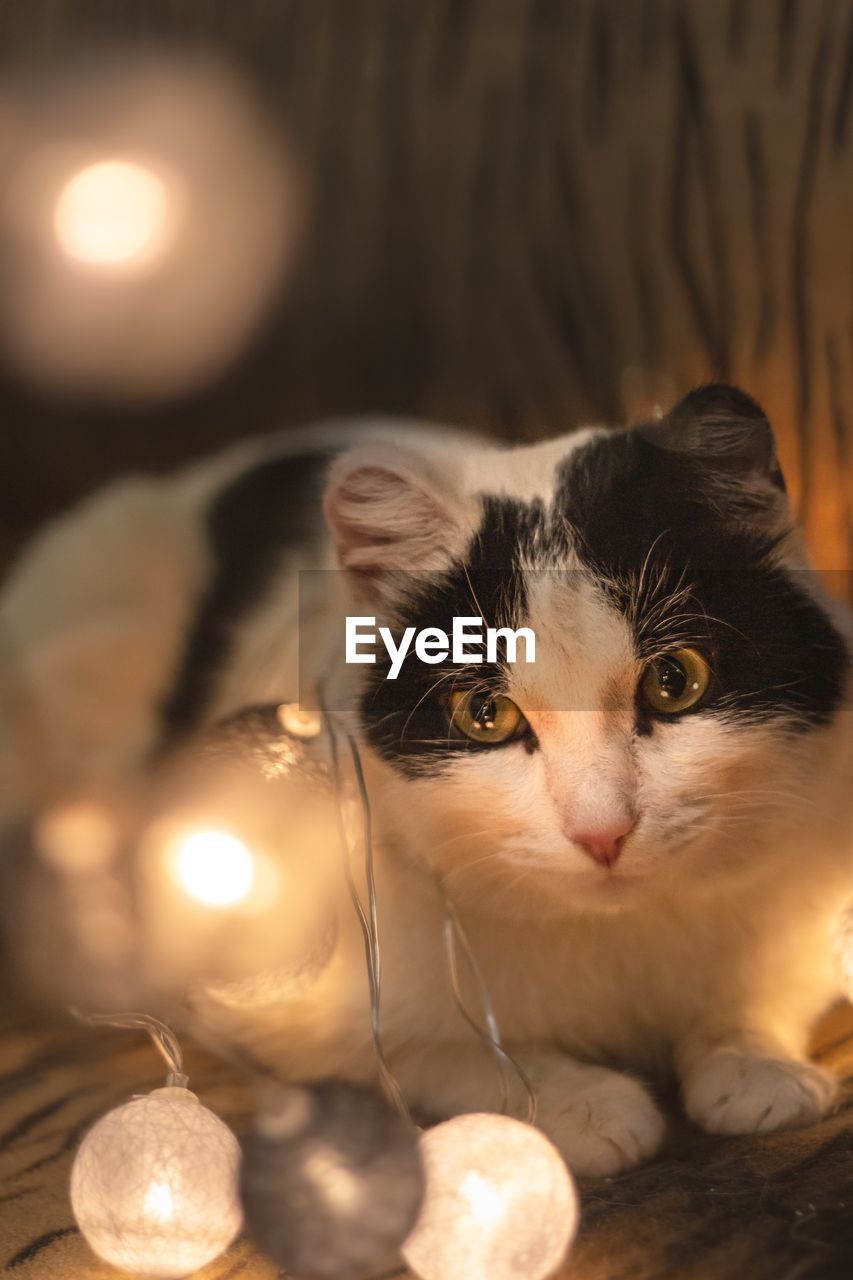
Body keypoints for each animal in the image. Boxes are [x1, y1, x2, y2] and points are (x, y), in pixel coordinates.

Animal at [4, 384, 850, 1172]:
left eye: (674, 681)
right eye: (486, 714)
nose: (601, 832)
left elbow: (778, 975)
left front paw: (751, 1059)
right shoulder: (265, 1004)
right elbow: (438, 1053)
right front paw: (578, 1102)